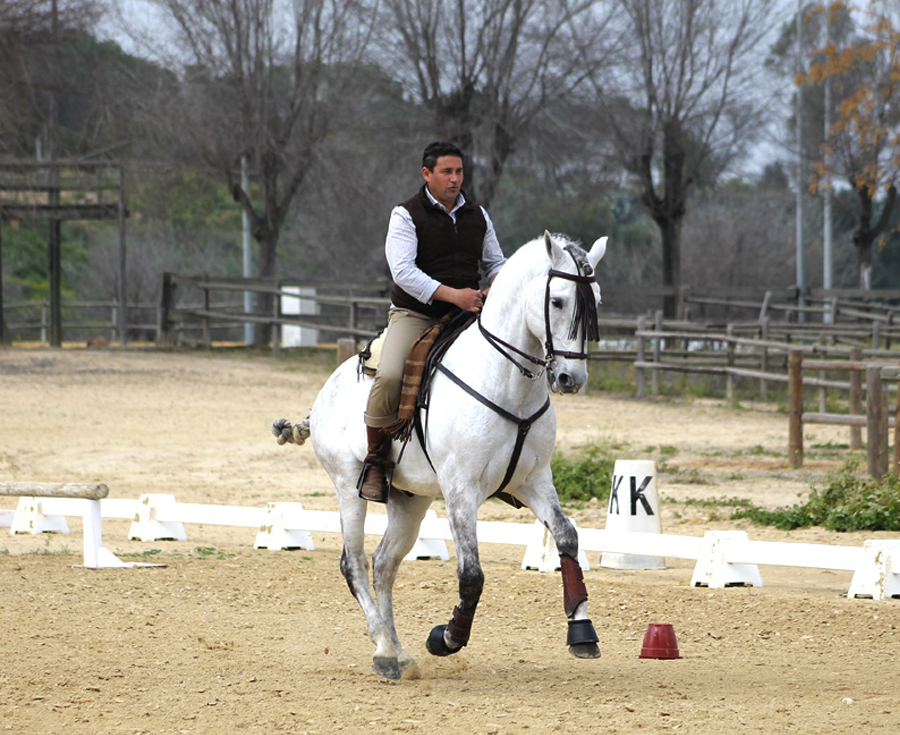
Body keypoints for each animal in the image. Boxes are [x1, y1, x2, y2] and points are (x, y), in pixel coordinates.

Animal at [272, 231, 604, 680]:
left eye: (596, 301)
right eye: (558, 301)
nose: (571, 378)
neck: (507, 383)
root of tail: (323, 396)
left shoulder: (534, 480)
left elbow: (567, 537)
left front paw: (582, 631)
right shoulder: (462, 490)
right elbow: (472, 575)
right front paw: (446, 638)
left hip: (410, 500)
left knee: (384, 563)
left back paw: (397, 652)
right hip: (348, 487)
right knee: (353, 563)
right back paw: (383, 649)